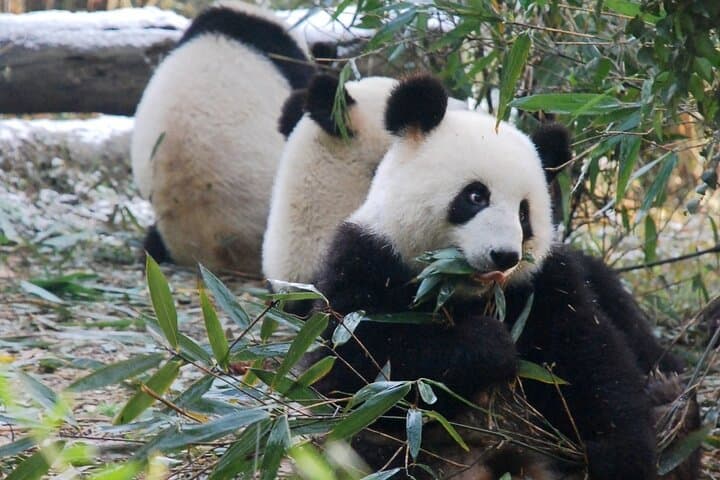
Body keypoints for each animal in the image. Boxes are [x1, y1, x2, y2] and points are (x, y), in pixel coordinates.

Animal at [309, 74, 699, 479]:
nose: (505, 256)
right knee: (369, 448)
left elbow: (593, 363)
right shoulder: (365, 263)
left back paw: (675, 415)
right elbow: (358, 367)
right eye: (475, 196)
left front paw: (620, 456)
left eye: (524, 214)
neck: (464, 292)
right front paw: (489, 343)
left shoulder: (544, 286)